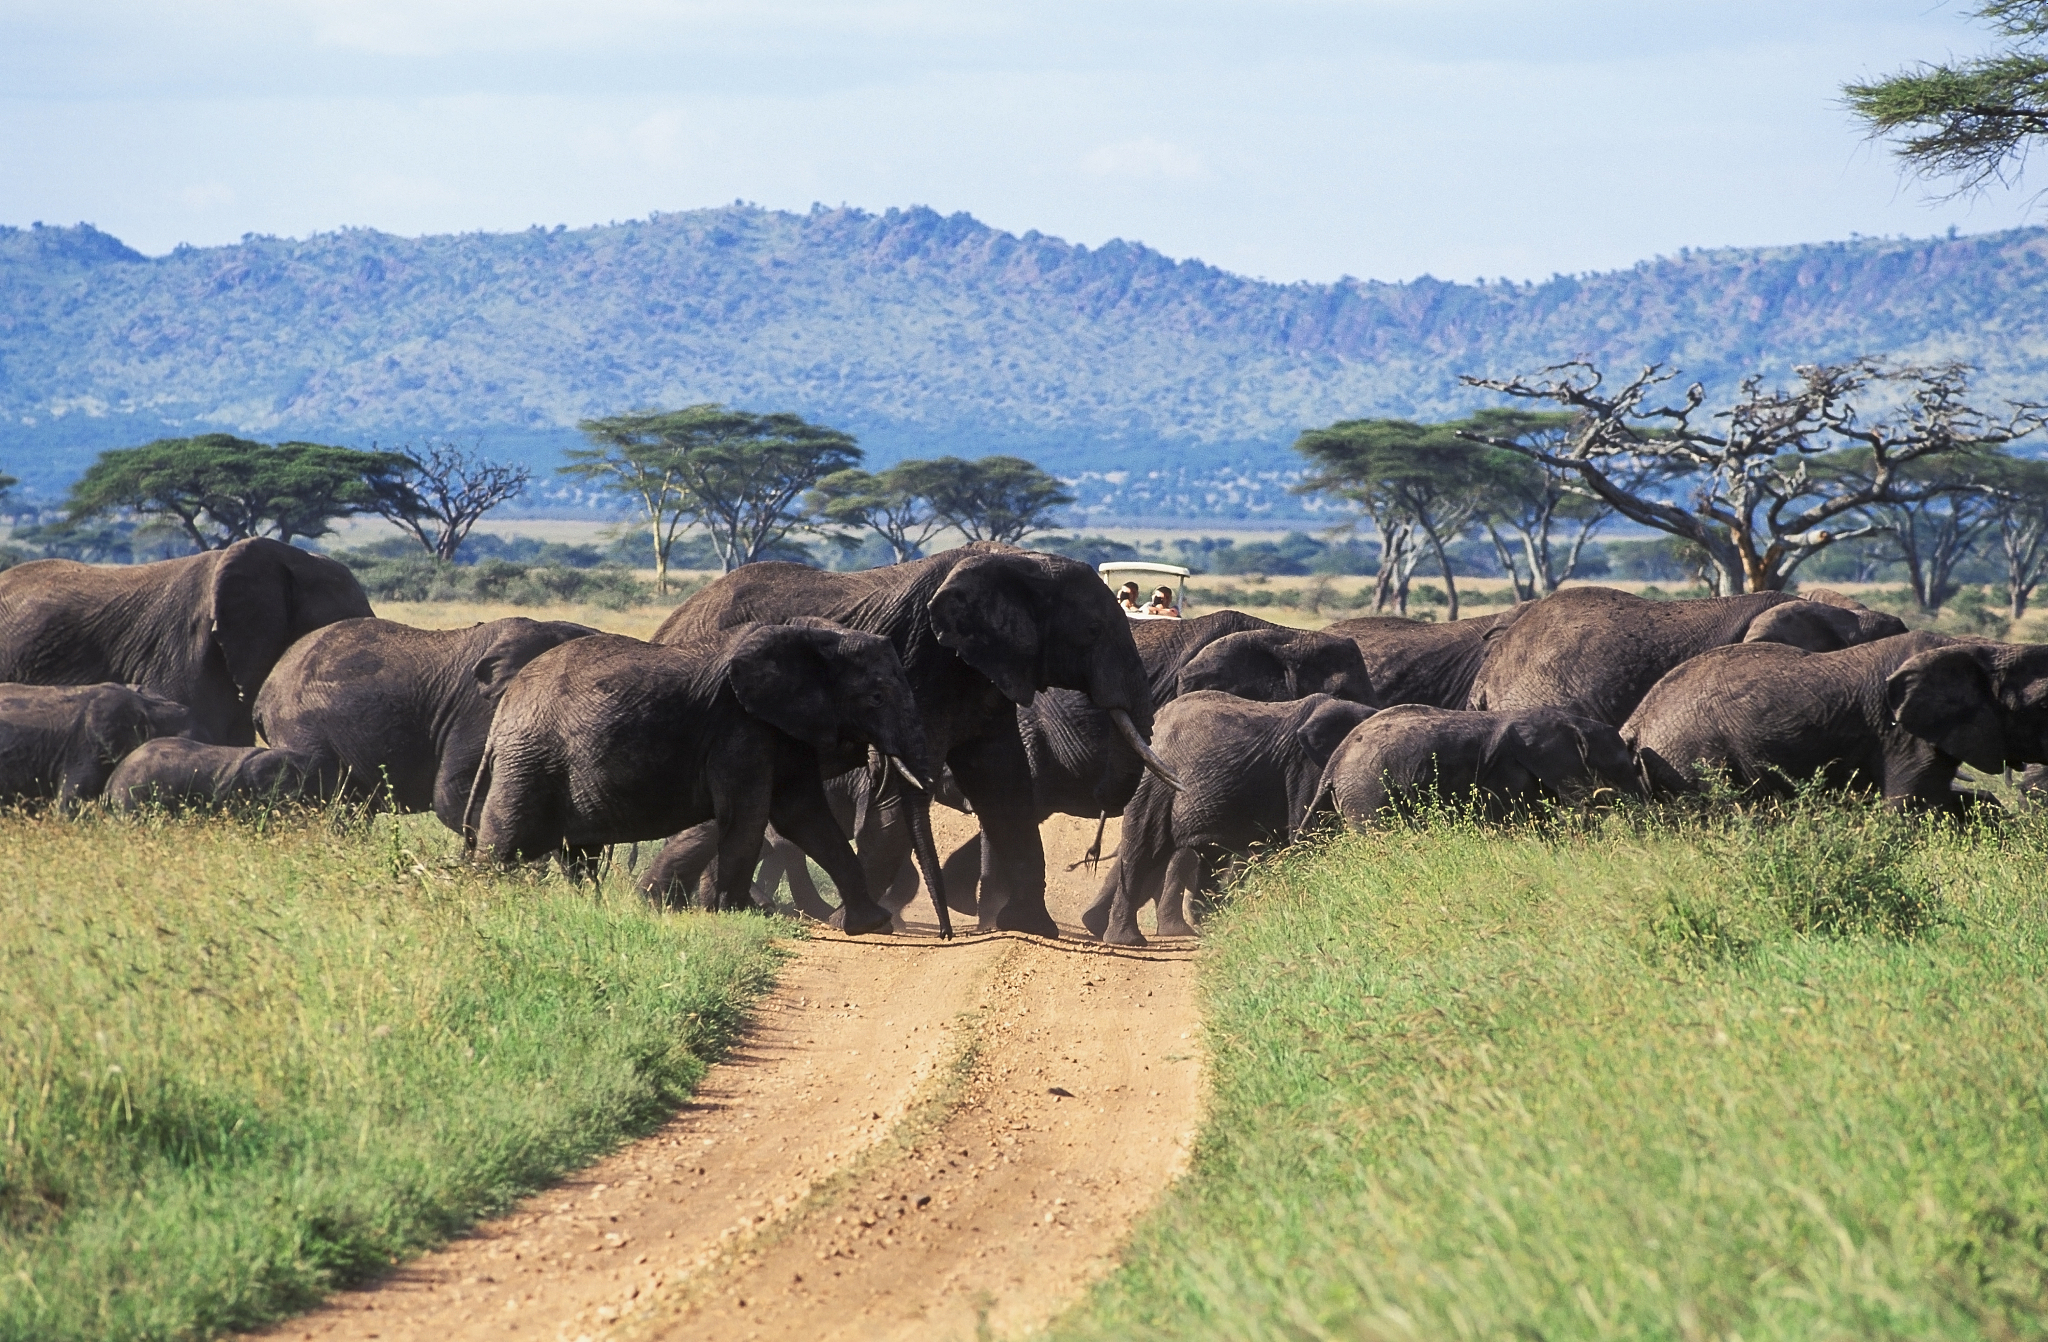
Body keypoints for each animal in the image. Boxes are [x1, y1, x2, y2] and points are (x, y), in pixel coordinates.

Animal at [468, 624, 948, 935]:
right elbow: (751, 815)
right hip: (528, 758)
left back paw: (589, 908)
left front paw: (871, 923)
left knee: (578, 853)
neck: (815, 638)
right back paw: (483, 905)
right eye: (876, 697)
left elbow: (803, 816)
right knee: (505, 842)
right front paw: (740, 915)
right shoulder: (740, 727)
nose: (946, 935)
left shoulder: (782, 728)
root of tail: (500, 716)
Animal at [650, 544, 1166, 939]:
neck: (1013, 561)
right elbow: (897, 803)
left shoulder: (984, 674)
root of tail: (672, 620)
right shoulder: (920, 664)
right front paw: (856, 924)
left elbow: (1006, 788)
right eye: (1092, 631)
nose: (947, 935)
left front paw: (1030, 928)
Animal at [1086, 691, 1377, 947]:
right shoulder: (1305, 769)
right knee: (1145, 851)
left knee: (1206, 857)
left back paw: (1209, 926)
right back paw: (1128, 940)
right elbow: (1309, 836)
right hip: (1155, 783)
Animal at [1621, 632, 2048, 815]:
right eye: (2043, 705)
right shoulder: (1903, 735)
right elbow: (1913, 805)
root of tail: (1636, 721)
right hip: (1694, 758)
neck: (1982, 647)